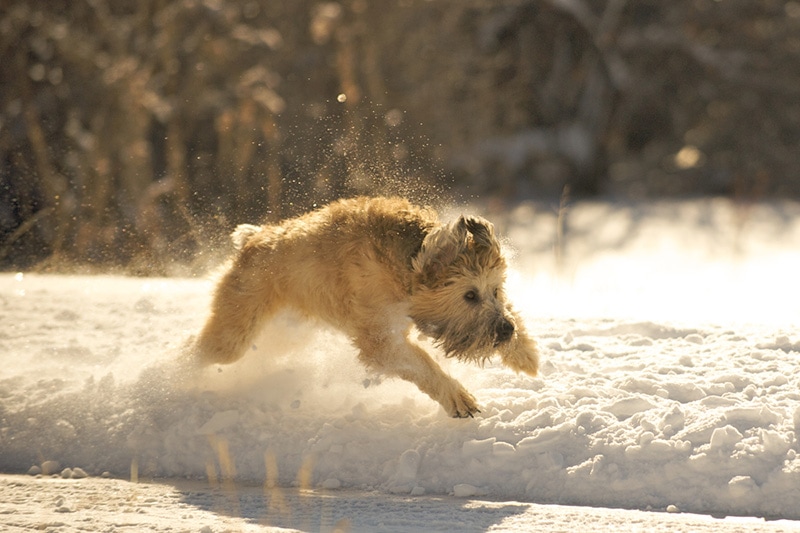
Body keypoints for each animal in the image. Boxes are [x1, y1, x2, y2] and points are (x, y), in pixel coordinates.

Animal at [193, 195, 536, 416]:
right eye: (469, 295)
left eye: (495, 290)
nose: (505, 332)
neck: (404, 265)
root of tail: (253, 239)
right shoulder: (379, 339)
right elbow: (423, 364)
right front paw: (458, 397)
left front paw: (525, 354)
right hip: (235, 333)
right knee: (199, 349)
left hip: (283, 333)